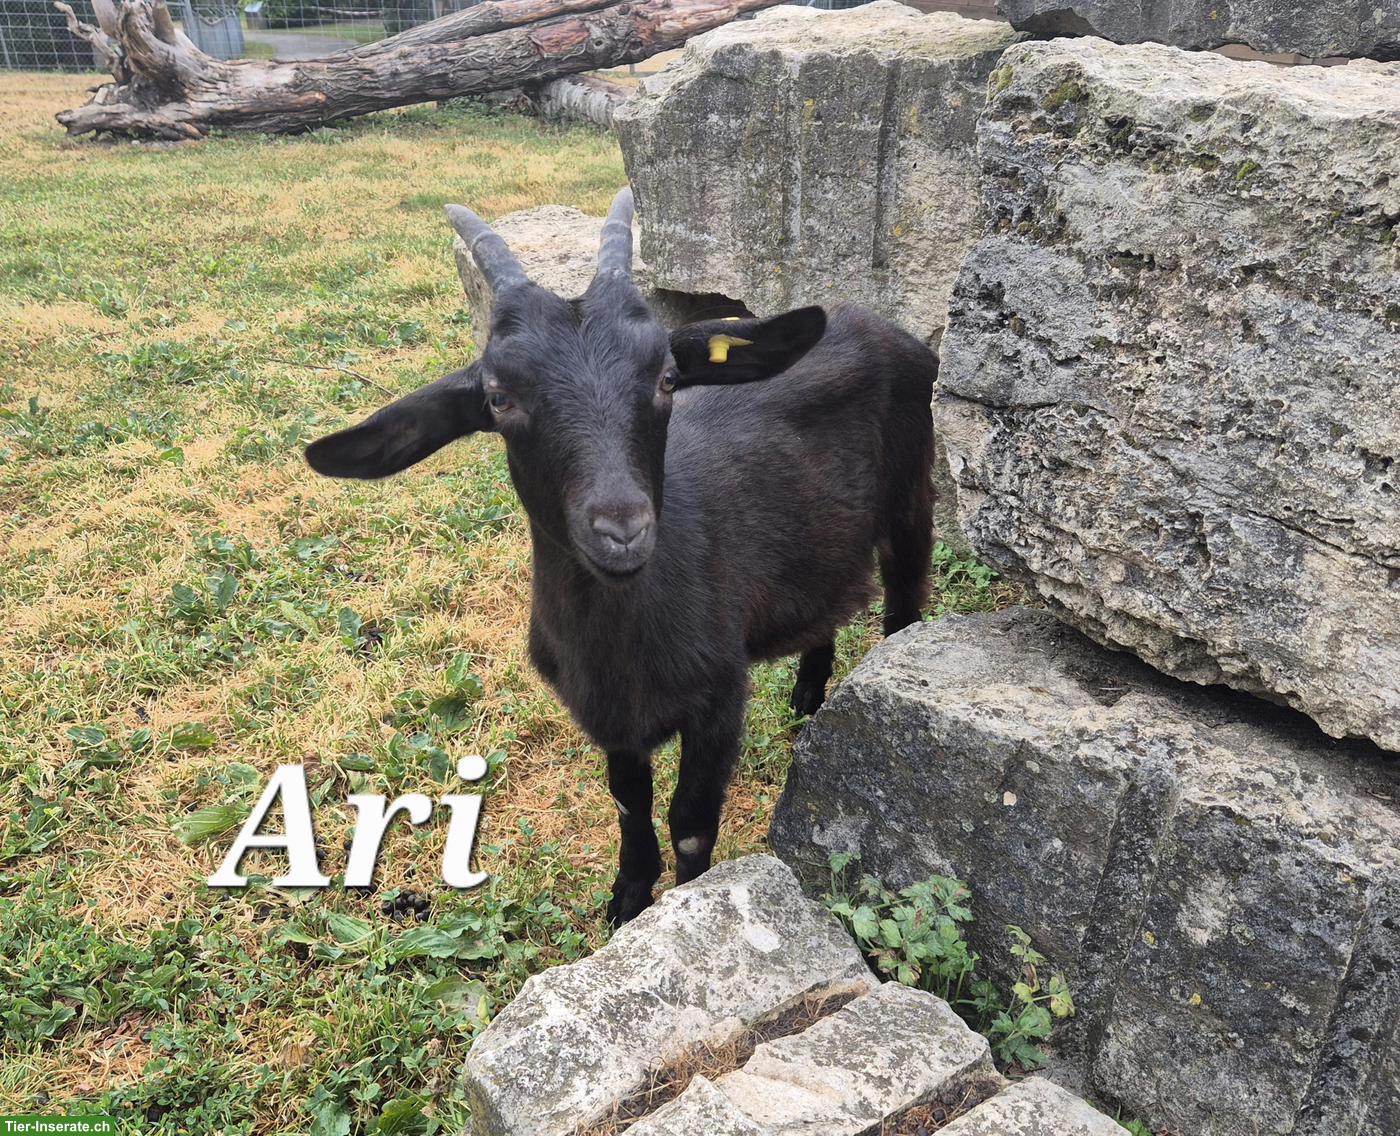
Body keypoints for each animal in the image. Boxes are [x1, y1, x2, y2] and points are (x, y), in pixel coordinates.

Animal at [305, 189, 936, 925]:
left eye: (666, 378)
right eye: (498, 397)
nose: (623, 528)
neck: (621, 644)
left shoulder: (719, 696)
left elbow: (689, 820)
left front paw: (683, 904)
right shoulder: (608, 717)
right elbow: (629, 803)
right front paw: (628, 898)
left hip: (911, 498)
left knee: (903, 604)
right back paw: (807, 704)